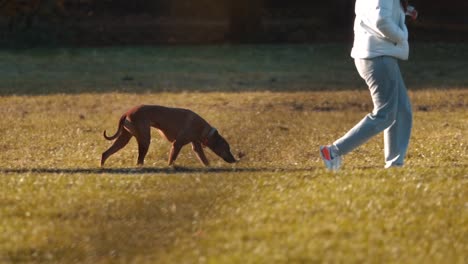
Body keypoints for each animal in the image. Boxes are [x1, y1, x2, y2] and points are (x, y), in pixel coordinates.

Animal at [100, 104, 236, 166]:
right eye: (227, 148)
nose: (234, 160)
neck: (202, 128)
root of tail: (127, 112)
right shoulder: (177, 144)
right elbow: (171, 160)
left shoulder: (196, 146)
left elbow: (205, 161)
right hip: (145, 140)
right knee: (139, 161)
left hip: (124, 139)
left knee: (105, 154)